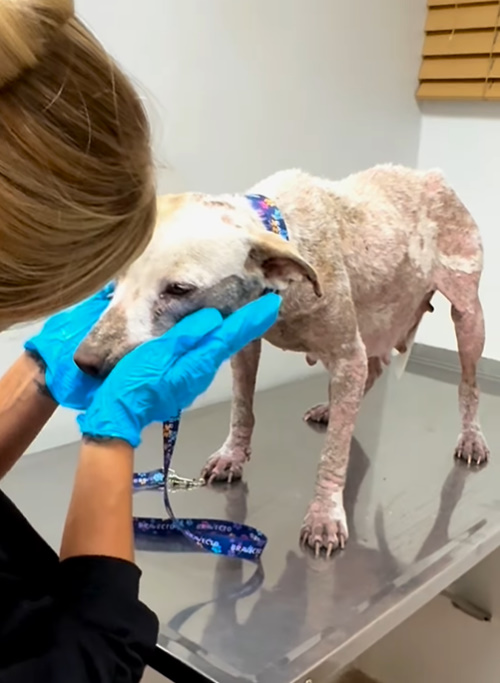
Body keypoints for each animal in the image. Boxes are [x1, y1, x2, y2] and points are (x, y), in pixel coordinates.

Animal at [74, 164, 488, 556]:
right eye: (116, 280)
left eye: (179, 289)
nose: (85, 361)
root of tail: (433, 176)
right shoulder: (244, 344)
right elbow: (242, 408)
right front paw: (233, 455)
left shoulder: (345, 353)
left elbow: (334, 452)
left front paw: (324, 515)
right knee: (369, 371)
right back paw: (331, 408)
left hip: (468, 316)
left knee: (466, 384)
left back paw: (470, 437)